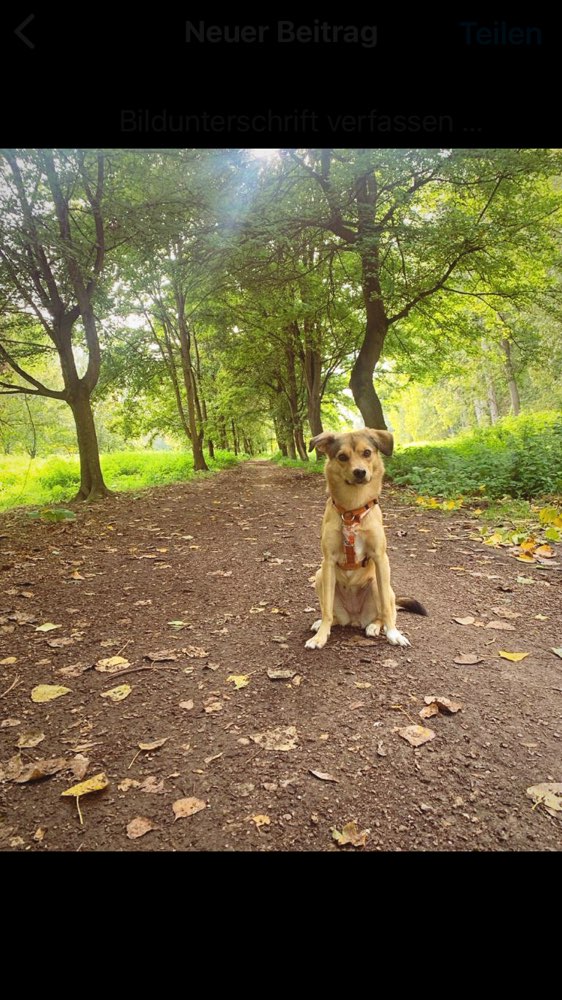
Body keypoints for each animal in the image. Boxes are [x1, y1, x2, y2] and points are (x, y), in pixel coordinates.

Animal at [304, 428, 426, 648]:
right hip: (319, 576)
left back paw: (375, 627)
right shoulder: (328, 562)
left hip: (378, 583)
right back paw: (323, 624)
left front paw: (394, 634)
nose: (359, 472)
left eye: (367, 452)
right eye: (342, 457)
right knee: (332, 613)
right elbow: (326, 609)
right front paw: (320, 637)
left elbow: (386, 608)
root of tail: (354, 619)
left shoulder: (380, 558)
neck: (352, 510)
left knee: (385, 612)